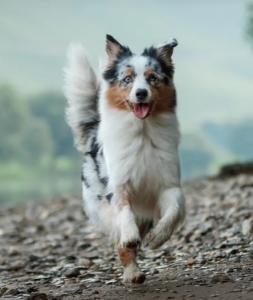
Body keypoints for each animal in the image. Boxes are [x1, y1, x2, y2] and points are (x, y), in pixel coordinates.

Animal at [64, 35, 185, 284]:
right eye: (127, 79)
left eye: (152, 78)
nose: (141, 93)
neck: (143, 132)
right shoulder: (118, 185)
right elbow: (124, 212)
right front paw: (130, 235)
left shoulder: (168, 184)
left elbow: (174, 210)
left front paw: (157, 238)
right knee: (122, 243)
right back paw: (132, 273)